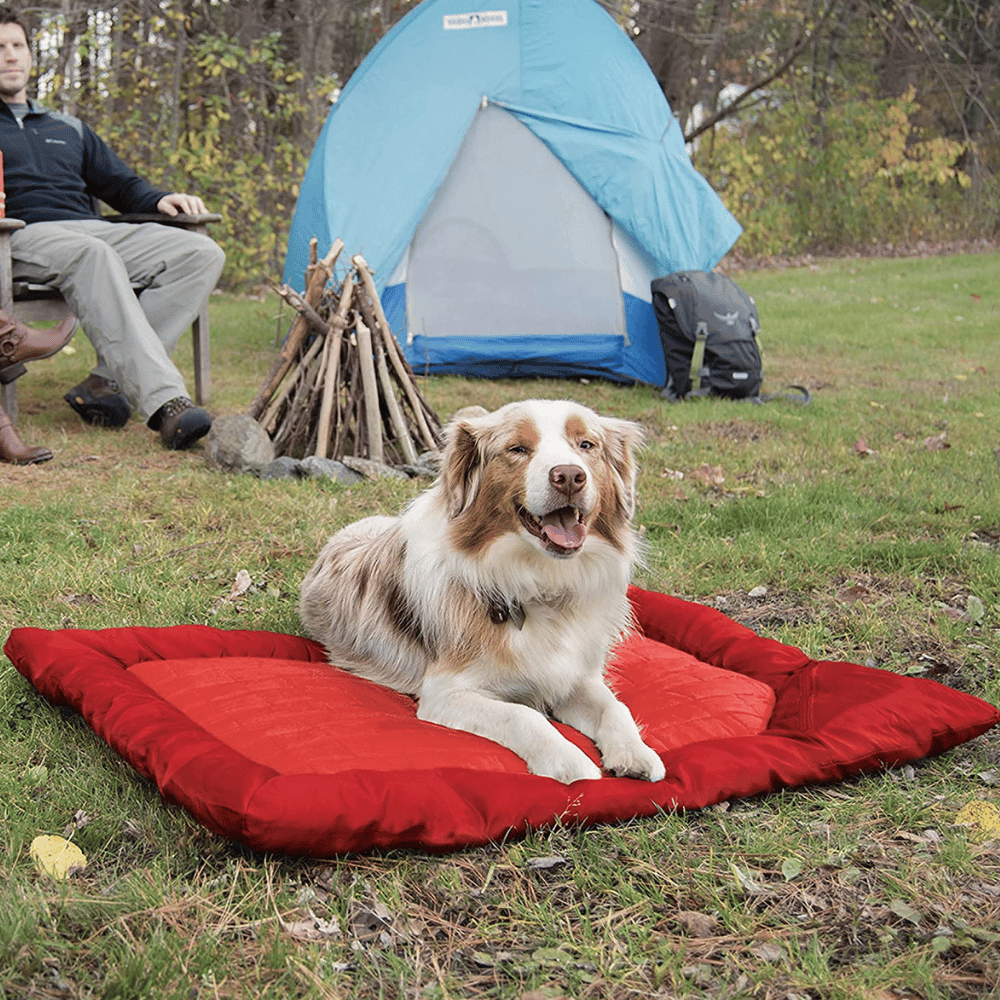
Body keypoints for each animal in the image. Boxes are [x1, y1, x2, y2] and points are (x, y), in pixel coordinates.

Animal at [300, 402, 668, 784]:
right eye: (517, 449)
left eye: (586, 445)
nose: (569, 476)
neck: (541, 583)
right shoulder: (446, 692)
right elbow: (523, 714)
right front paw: (569, 761)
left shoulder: (575, 676)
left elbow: (616, 706)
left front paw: (636, 752)